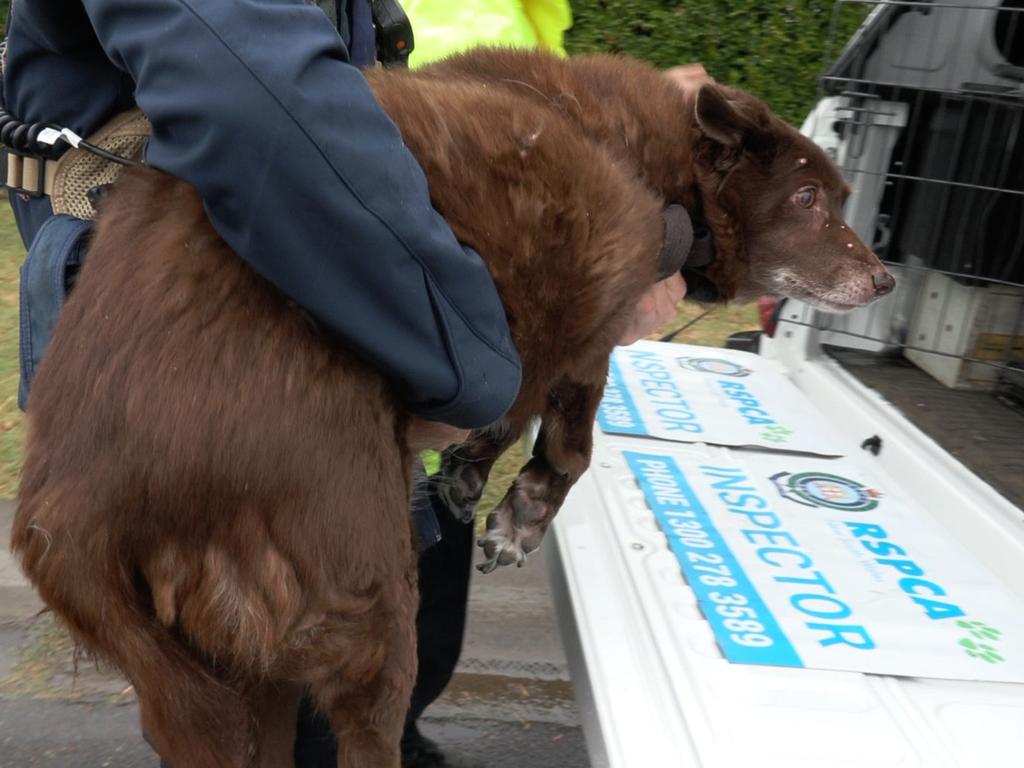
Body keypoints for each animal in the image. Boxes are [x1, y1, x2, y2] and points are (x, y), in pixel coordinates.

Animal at [8, 49, 892, 768]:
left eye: (841, 195)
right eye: (808, 197)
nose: (883, 280)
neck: (650, 156)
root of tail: (76, 513)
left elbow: (509, 412)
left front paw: (472, 476)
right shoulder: (596, 308)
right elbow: (570, 440)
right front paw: (521, 515)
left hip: (219, 672)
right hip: (360, 599)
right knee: (368, 724)